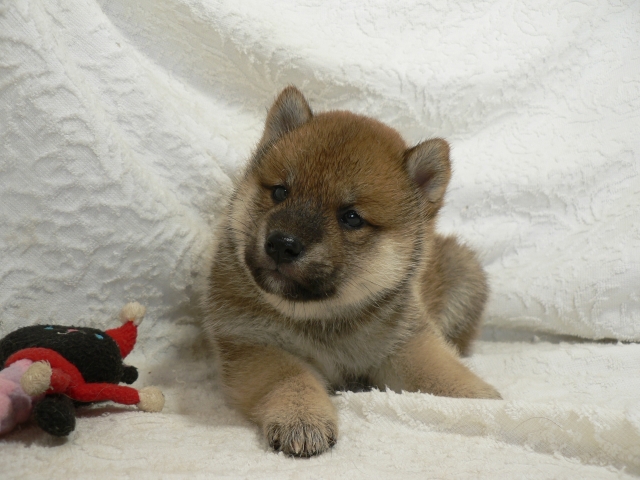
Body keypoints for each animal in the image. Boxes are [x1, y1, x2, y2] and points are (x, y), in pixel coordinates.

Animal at [203, 86, 500, 457]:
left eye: (351, 217)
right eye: (280, 192)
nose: (282, 244)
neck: (323, 318)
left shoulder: (404, 342)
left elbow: (440, 371)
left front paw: (483, 400)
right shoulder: (252, 344)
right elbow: (291, 378)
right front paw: (302, 418)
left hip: (465, 273)